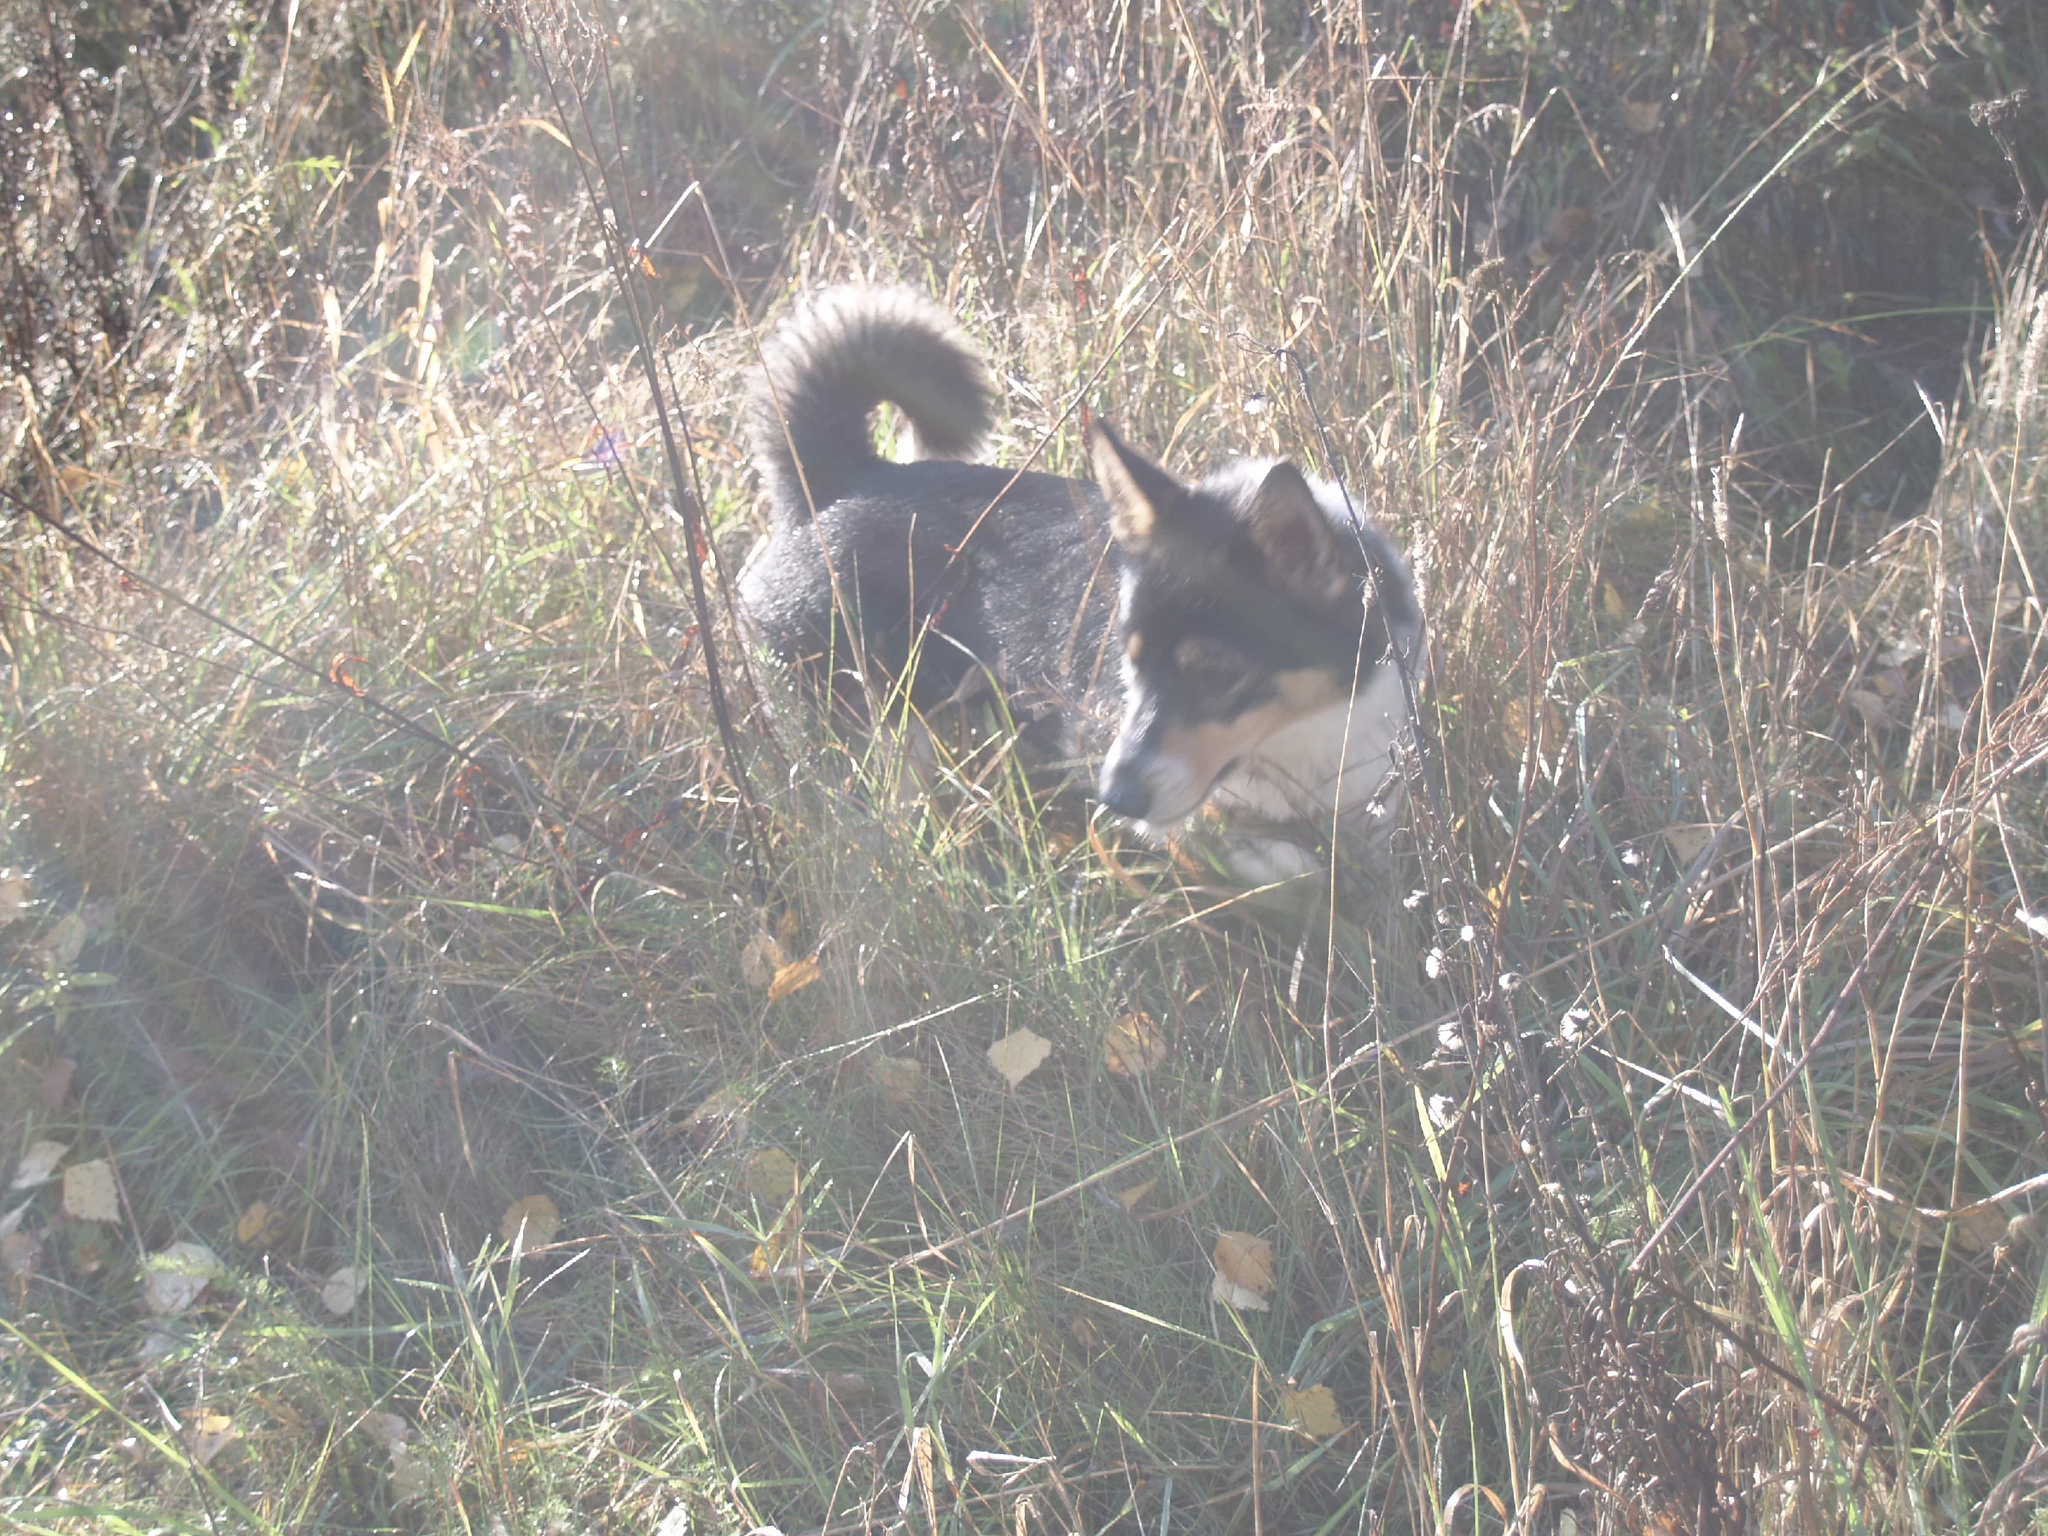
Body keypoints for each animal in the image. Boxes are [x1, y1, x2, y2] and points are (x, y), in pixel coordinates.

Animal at [737, 284, 1425, 884]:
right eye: (1132, 664)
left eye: (1216, 674)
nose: (1113, 799)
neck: (1304, 731)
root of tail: (837, 485)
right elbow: (1280, 862)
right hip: (861, 748)